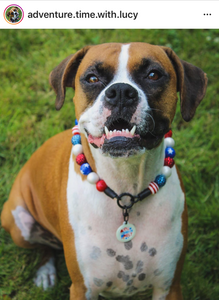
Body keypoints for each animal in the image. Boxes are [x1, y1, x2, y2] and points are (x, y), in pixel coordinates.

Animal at [1, 42, 207, 300]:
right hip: (18, 223)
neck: (125, 186)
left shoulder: (169, 286)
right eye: (92, 78)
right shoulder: (82, 289)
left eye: (153, 75)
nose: (121, 92)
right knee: (43, 245)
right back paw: (45, 272)